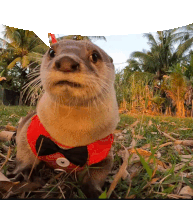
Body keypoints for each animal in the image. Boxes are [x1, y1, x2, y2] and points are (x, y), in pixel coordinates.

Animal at [10, 39, 120, 198]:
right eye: (51, 52)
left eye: (95, 55)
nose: (66, 62)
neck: (68, 136)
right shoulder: (29, 131)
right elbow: (24, 154)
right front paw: (21, 175)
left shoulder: (104, 151)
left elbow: (98, 175)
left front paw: (95, 192)